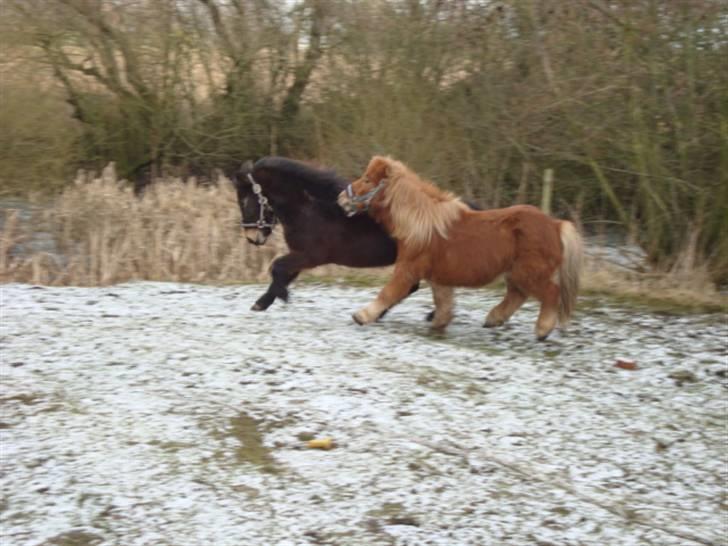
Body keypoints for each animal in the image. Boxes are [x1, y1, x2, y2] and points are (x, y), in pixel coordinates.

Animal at [337, 156, 584, 340]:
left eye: (367, 180)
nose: (341, 199)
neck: (421, 224)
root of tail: (556, 224)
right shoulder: (438, 276)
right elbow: (443, 301)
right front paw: (439, 324)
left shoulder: (408, 270)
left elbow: (388, 293)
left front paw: (362, 316)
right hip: (517, 273)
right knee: (517, 296)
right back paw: (494, 319)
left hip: (530, 273)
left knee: (550, 293)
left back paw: (542, 329)